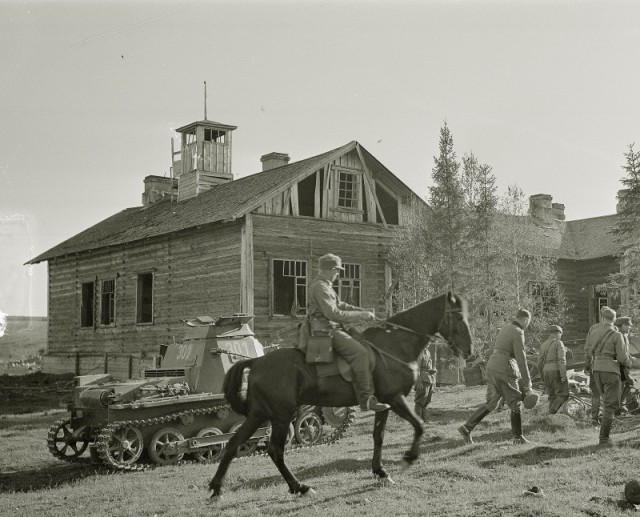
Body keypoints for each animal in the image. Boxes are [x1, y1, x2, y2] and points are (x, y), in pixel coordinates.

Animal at [208, 292, 472, 498]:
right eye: (459, 317)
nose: (469, 350)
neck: (394, 345)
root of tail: (257, 362)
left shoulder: (383, 404)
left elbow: (378, 437)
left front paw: (380, 472)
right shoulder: (395, 398)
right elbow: (419, 425)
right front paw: (409, 457)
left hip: (259, 414)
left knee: (233, 444)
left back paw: (216, 488)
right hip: (281, 416)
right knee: (275, 451)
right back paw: (300, 487)